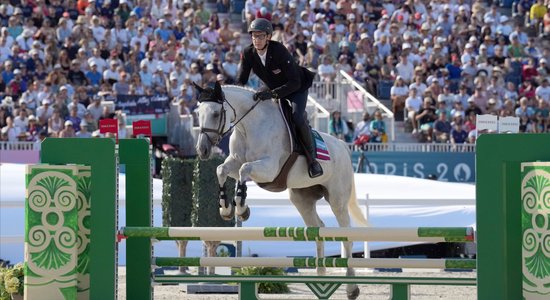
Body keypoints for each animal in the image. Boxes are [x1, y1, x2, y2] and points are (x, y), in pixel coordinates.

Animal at [196, 81, 368, 298]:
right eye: (198, 113)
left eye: (216, 113)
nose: (202, 150)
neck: (248, 126)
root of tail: (343, 146)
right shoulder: (234, 162)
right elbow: (221, 170)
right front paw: (226, 209)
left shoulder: (269, 168)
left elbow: (245, 170)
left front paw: (242, 209)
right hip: (302, 199)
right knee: (317, 228)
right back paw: (321, 276)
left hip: (337, 199)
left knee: (346, 236)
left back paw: (351, 288)